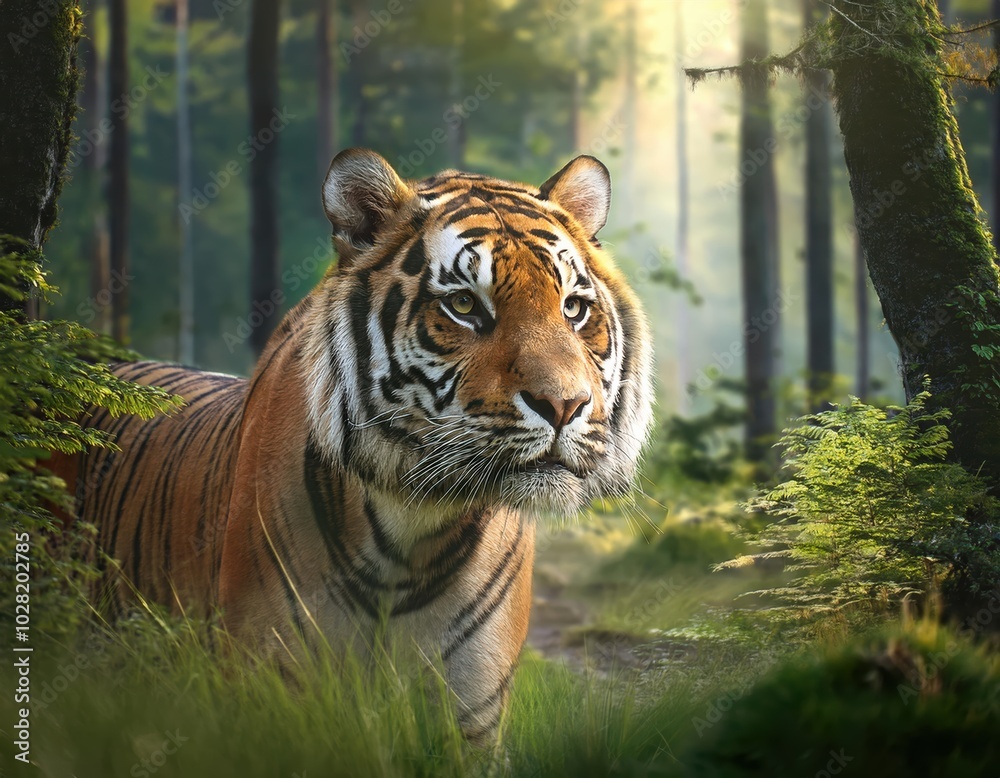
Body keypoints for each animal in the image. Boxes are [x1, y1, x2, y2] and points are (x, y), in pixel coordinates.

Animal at [51, 148, 654, 743]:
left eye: (573, 308)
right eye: (463, 305)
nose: (565, 405)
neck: (413, 531)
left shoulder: (472, 711)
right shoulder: (270, 690)